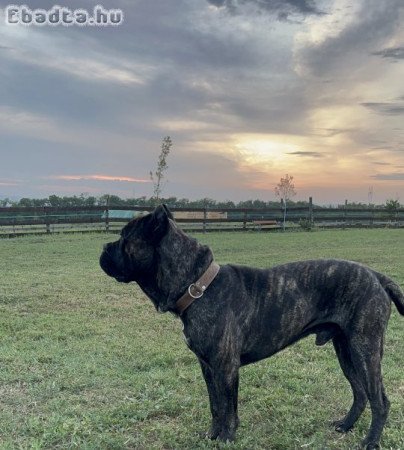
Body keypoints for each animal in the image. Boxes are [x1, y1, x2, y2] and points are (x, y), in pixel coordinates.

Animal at [98, 206, 404, 448]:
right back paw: (346, 425)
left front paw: (226, 438)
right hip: (346, 352)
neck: (198, 286)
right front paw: (212, 435)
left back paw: (370, 441)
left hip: (364, 350)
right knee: (361, 393)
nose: (103, 249)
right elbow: (215, 406)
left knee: (380, 400)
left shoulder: (225, 367)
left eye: (125, 238)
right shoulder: (208, 367)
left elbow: (228, 408)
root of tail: (377, 276)